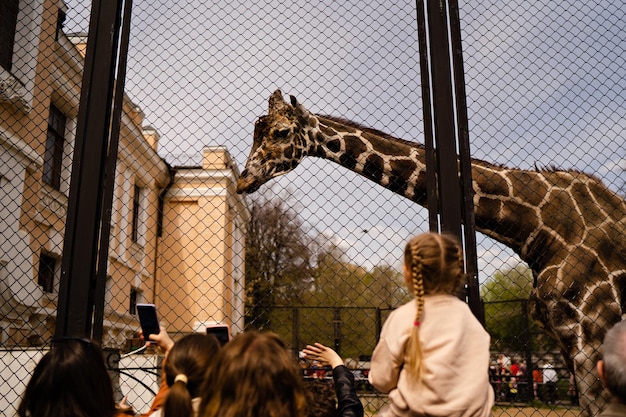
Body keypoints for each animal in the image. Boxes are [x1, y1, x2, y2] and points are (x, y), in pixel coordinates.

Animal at [238, 89, 624, 414]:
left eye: (281, 132)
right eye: (257, 131)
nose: (243, 179)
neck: (537, 228)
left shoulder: (589, 333)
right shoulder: (565, 337)